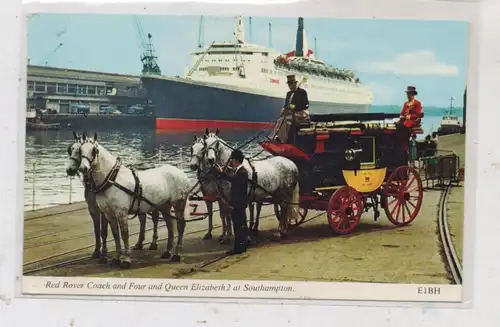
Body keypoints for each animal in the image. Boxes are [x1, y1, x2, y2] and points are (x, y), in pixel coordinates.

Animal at [77, 132, 191, 268]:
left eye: (94, 150)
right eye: (80, 150)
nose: (83, 168)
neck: (111, 179)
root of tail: (181, 172)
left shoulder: (121, 212)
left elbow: (124, 234)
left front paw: (126, 259)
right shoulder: (109, 213)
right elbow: (115, 234)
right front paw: (116, 258)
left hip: (179, 203)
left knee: (180, 225)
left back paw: (177, 254)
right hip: (164, 205)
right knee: (170, 225)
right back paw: (167, 251)